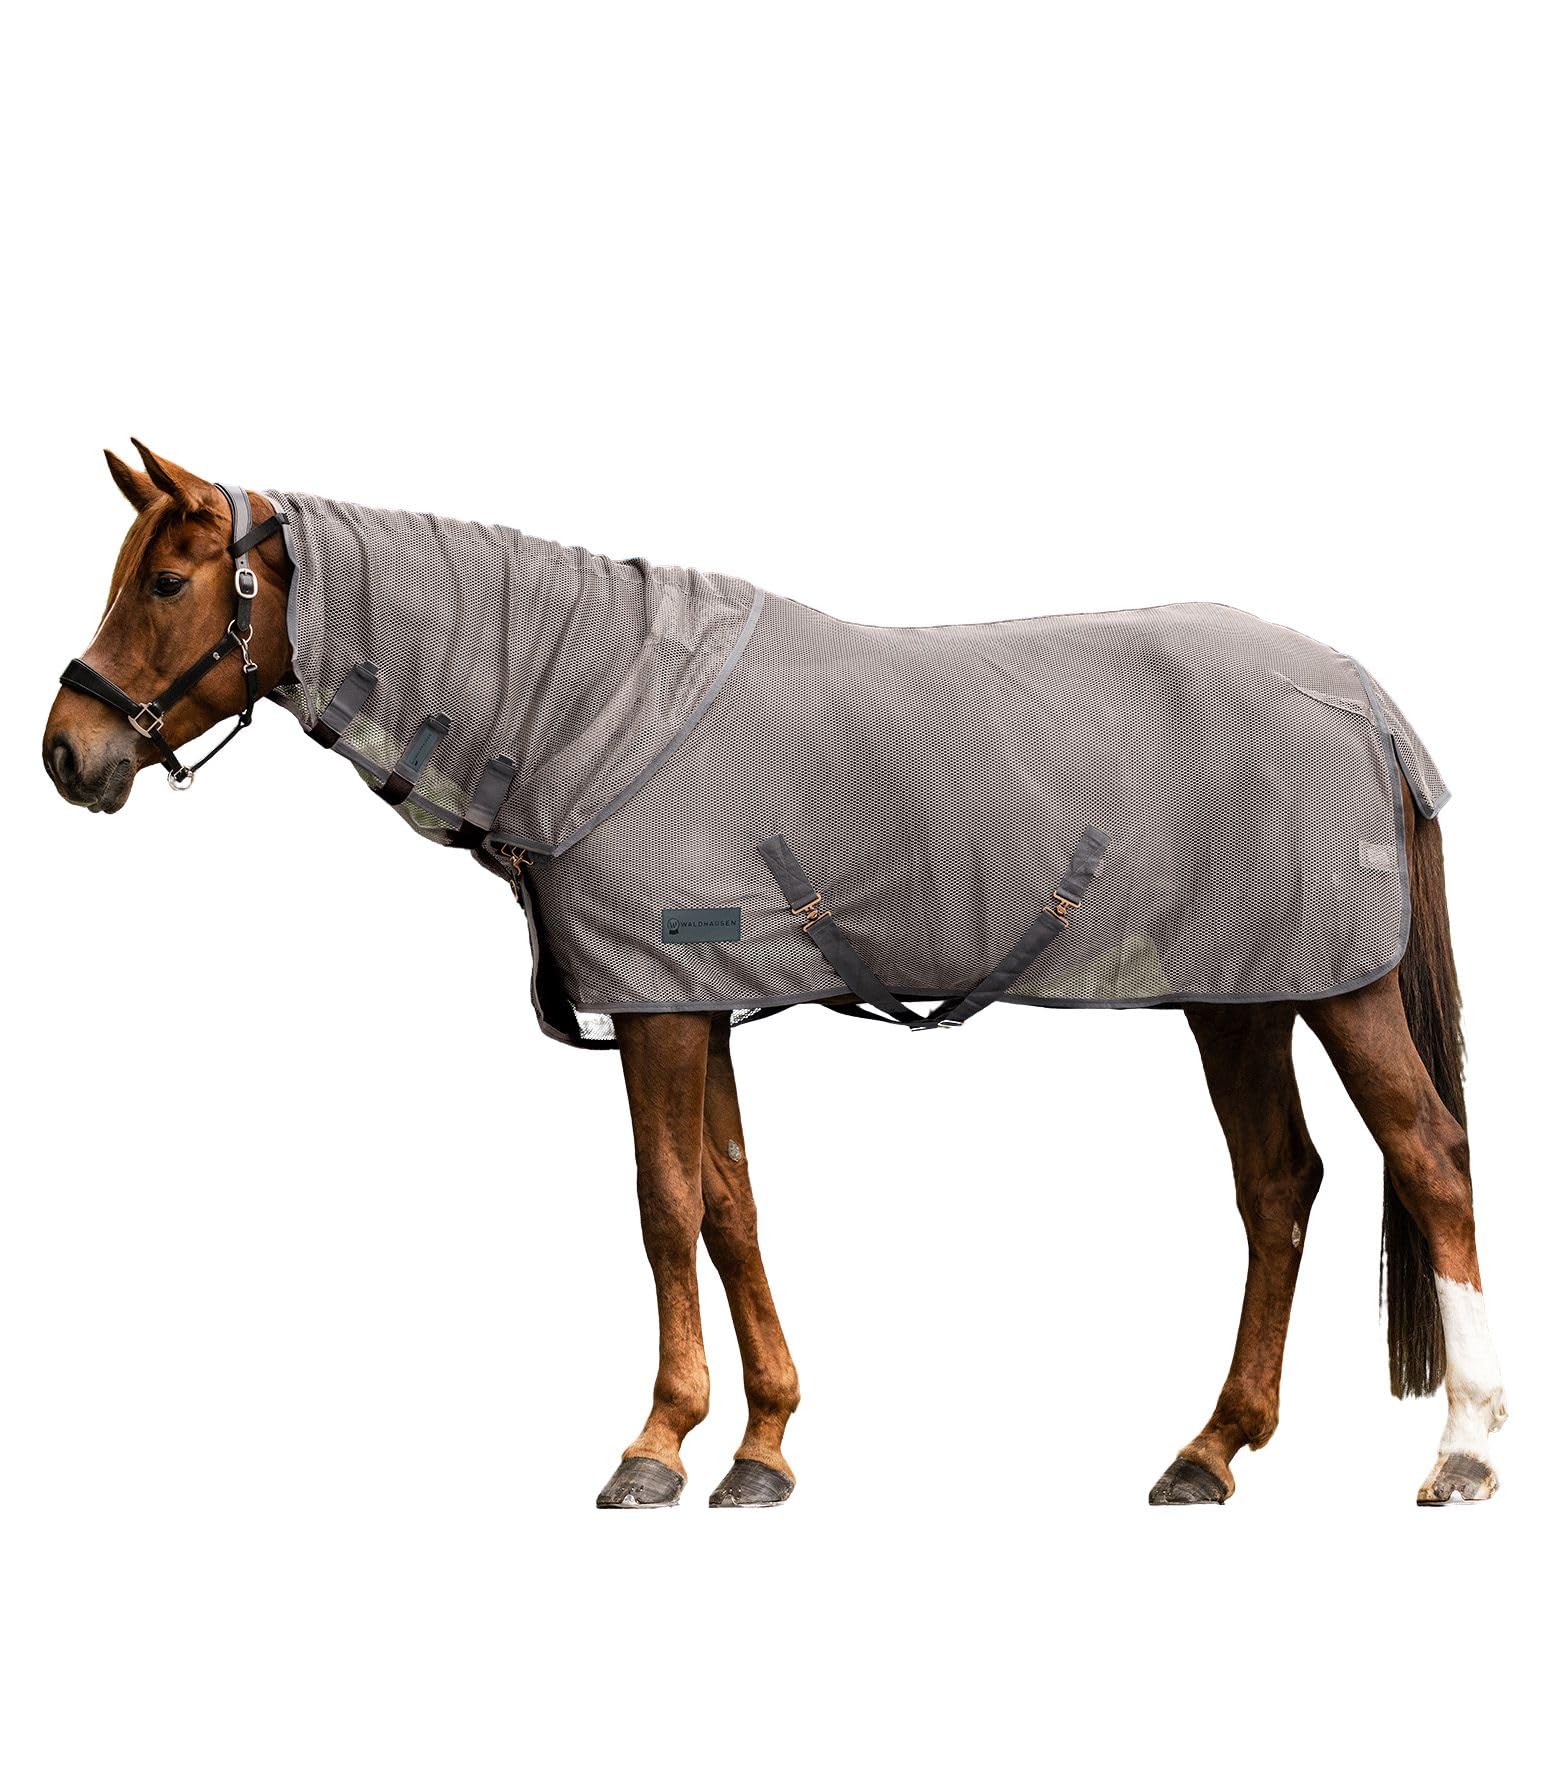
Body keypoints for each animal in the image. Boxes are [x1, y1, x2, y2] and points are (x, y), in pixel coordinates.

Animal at [42, 441, 1508, 1509]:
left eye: (166, 583)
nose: (66, 751)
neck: (592, 705)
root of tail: (1362, 697)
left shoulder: (657, 1007)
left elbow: (662, 1206)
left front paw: (655, 1443)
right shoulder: (701, 1004)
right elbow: (732, 1207)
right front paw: (760, 1449)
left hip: (1332, 987)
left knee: (1428, 1159)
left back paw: (1465, 1453)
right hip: (1237, 996)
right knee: (1279, 1188)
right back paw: (1208, 1451)